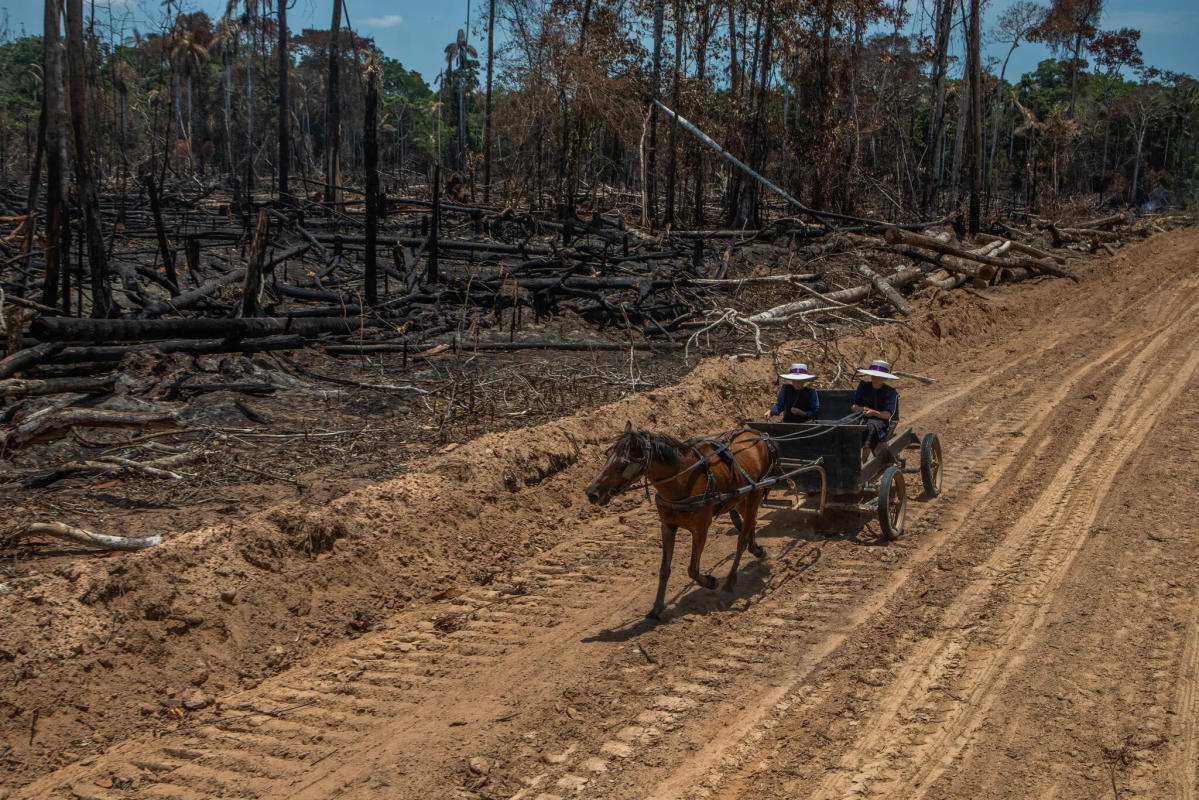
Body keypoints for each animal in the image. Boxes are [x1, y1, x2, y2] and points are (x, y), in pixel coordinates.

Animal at [587, 422, 776, 623]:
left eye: (623, 463)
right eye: (607, 456)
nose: (591, 492)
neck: (682, 480)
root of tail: (757, 434)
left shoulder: (701, 528)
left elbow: (692, 569)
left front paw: (711, 582)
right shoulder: (667, 526)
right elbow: (664, 570)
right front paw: (656, 608)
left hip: (756, 492)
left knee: (742, 537)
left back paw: (731, 580)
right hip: (741, 498)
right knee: (750, 523)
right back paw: (757, 550)